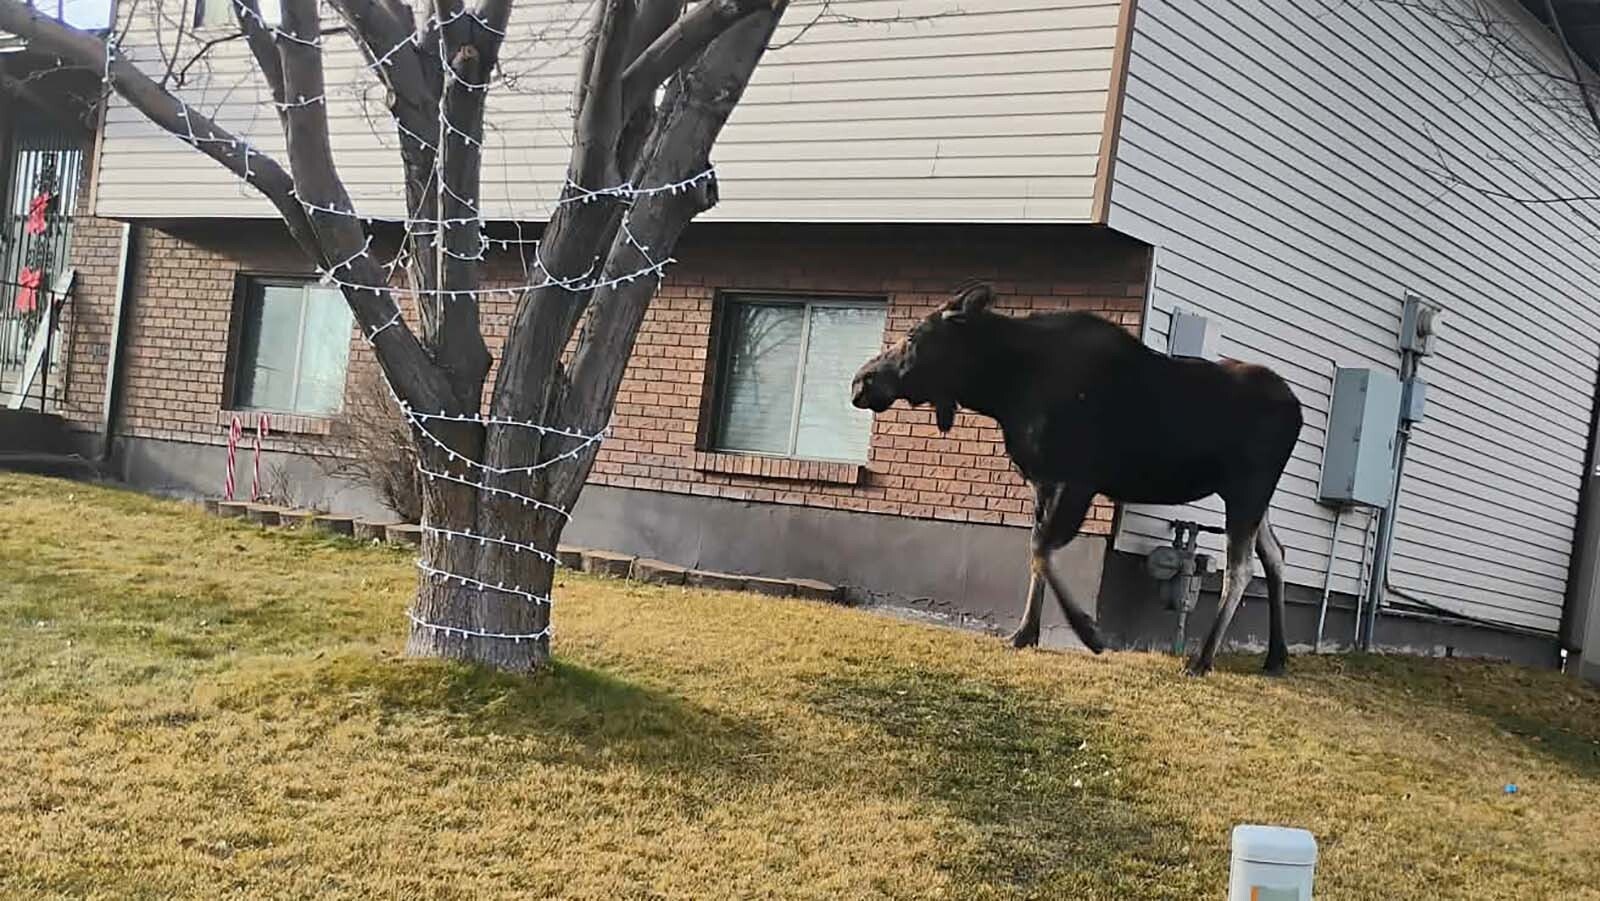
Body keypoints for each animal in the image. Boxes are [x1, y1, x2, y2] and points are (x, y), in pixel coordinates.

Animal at [851, 281, 1304, 676]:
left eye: (913, 335)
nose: (860, 380)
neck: (1002, 389)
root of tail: (1298, 408)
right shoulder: (1042, 482)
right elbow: (1036, 552)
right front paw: (1024, 633)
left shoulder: (1076, 482)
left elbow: (1041, 551)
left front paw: (1089, 632)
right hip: (1251, 496)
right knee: (1276, 554)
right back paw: (1276, 655)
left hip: (1247, 489)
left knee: (1240, 568)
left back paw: (1203, 658)